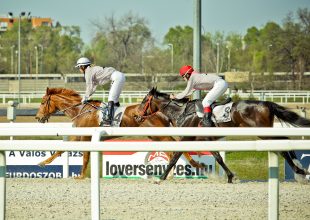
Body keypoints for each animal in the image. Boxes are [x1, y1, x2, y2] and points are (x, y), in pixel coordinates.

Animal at [34, 87, 206, 179]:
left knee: (176, 146)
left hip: (159, 133)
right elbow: (61, 149)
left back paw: (187, 167)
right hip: (155, 135)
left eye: (42, 102)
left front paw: (81, 176)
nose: (38, 117)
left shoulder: (86, 137)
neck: (81, 110)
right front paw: (43, 162)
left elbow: (85, 157)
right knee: (173, 148)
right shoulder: (79, 136)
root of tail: (160, 111)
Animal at [138, 87, 310, 182]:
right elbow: (218, 158)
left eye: (144, 101)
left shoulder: (187, 138)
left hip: (262, 132)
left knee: (283, 147)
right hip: (265, 132)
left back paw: (299, 171)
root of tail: (266, 103)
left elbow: (175, 156)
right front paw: (230, 176)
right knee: (286, 141)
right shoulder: (207, 139)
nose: (137, 116)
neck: (182, 112)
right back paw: (301, 170)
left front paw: (161, 177)